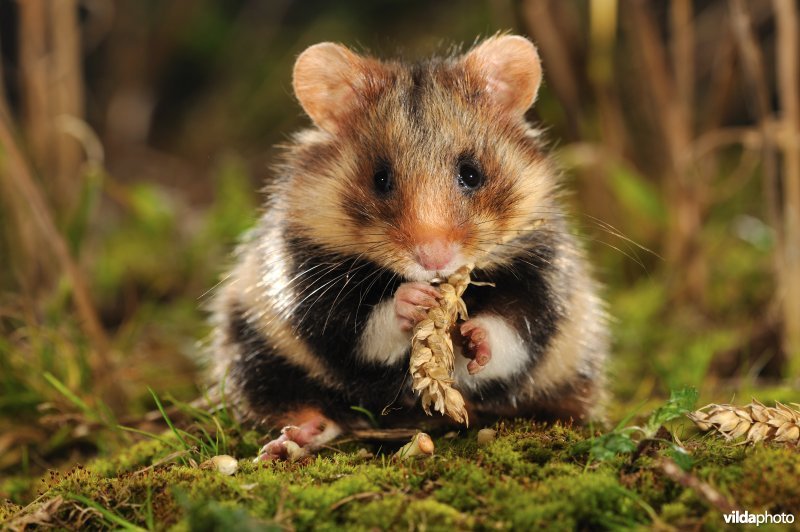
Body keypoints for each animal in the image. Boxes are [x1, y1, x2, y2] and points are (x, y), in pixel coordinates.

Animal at [209, 35, 608, 460]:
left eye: (472, 173)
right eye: (380, 179)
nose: (435, 259)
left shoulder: (543, 273)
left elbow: (515, 329)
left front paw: (472, 338)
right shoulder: (306, 276)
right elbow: (357, 328)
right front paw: (413, 301)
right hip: (253, 347)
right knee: (299, 403)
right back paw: (288, 442)